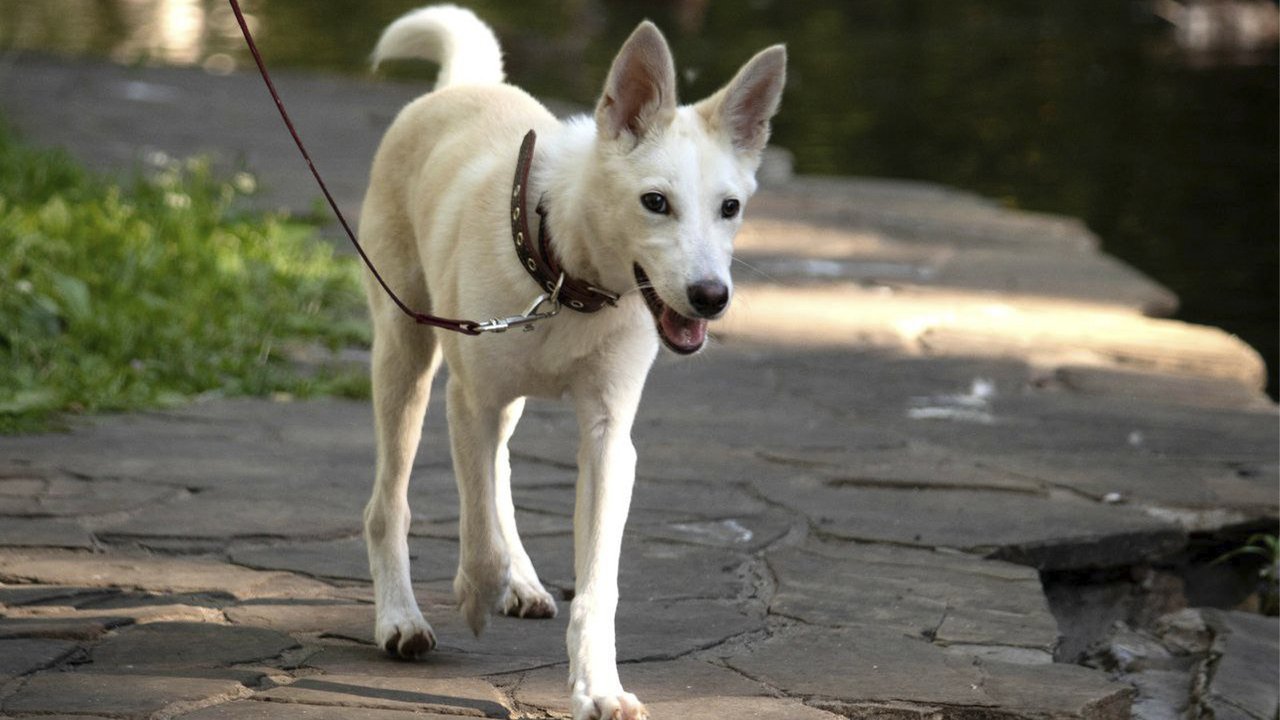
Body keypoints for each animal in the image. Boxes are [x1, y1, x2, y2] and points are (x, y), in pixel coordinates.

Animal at [355, 4, 783, 712]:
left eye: (731, 208)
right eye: (655, 202)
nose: (710, 297)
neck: (565, 276)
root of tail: (461, 86)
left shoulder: (610, 438)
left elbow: (598, 582)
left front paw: (598, 688)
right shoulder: (468, 400)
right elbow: (476, 534)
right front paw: (475, 594)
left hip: (501, 400)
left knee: (498, 471)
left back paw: (523, 582)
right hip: (404, 356)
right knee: (390, 503)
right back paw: (400, 618)